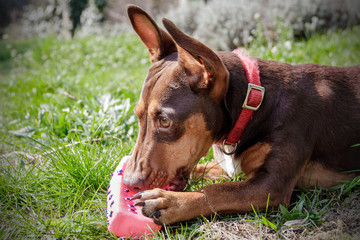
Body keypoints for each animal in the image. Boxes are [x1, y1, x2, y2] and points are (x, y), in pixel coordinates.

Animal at [122, 5, 358, 225]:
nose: (129, 182)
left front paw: (168, 201)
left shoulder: (271, 186)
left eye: (164, 121)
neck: (253, 108)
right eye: (138, 116)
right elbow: (202, 169)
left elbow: (217, 191)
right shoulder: (228, 169)